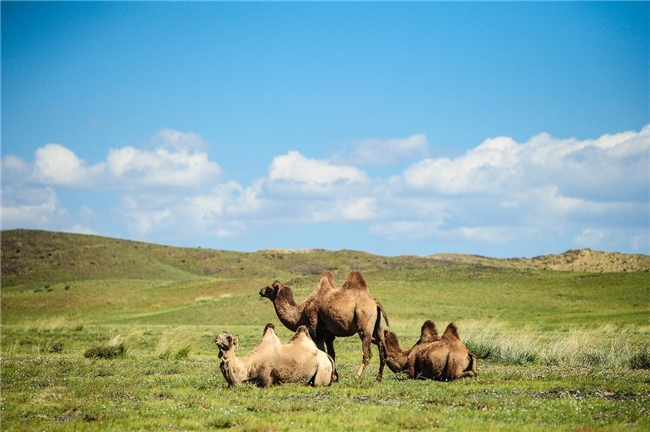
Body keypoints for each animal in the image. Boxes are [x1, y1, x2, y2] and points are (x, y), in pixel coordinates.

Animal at [258, 272, 390, 380]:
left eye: (269, 288)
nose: (261, 290)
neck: (301, 312)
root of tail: (375, 303)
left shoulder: (317, 331)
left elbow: (322, 351)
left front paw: (331, 376)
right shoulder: (329, 334)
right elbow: (331, 353)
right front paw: (335, 377)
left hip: (364, 324)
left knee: (367, 353)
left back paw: (357, 377)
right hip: (378, 327)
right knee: (382, 348)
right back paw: (379, 378)